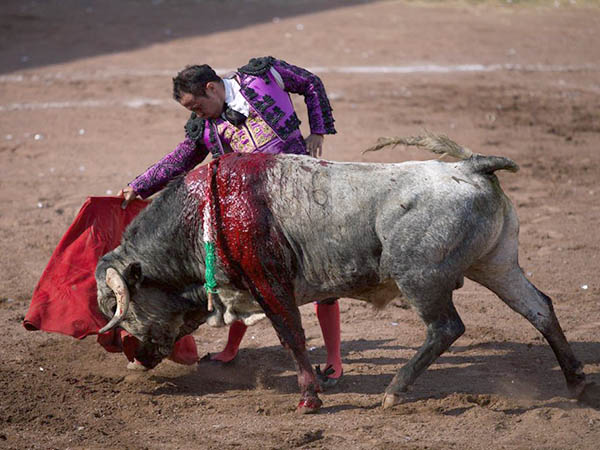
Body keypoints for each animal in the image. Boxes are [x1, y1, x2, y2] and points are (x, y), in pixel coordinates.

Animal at [96, 135, 587, 413]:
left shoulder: (270, 284)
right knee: (539, 308)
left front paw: (309, 399)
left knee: (446, 327)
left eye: (119, 308)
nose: (136, 357)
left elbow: (292, 337)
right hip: (497, 264)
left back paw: (395, 391)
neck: (205, 214)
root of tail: (469, 165)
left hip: (421, 278)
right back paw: (576, 380)